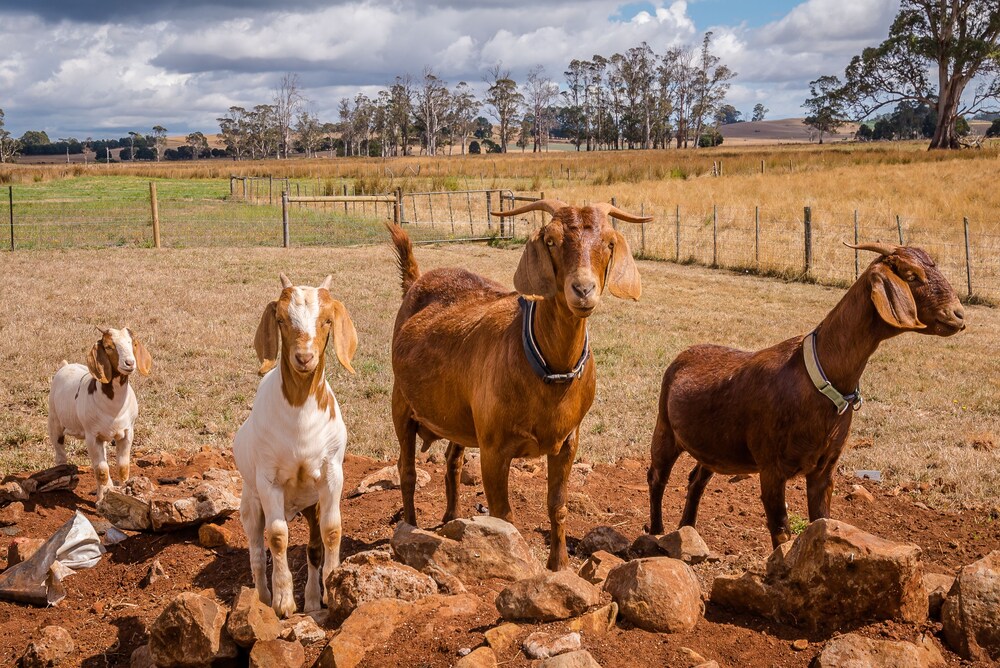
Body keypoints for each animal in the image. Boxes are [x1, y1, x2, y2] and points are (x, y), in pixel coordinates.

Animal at [49, 326, 152, 504]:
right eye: (109, 347)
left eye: (132, 343)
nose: (130, 363)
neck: (114, 408)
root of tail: (66, 366)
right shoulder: (92, 436)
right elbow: (101, 470)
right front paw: (101, 500)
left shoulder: (128, 432)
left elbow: (123, 466)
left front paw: (123, 493)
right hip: (54, 419)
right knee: (60, 452)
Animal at [232, 274, 358, 620]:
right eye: (281, 319)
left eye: (327, 320)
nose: (304, 358)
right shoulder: (268, 480)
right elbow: (276, 536)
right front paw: (283, 602)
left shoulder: (332, 473)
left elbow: (331, 531)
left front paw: (331, 590)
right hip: (250, 500)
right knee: (256, 550)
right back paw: (262, 597)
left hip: (309, 503)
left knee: (313, 548)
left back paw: (313, 600)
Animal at [382, 198, 648, 568]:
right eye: (551, 240)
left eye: (609, 242)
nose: (582, 289)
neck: (549, 373)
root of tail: (415, 282)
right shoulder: (494, 447)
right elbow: (503, 517)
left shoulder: (569, 441)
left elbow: (558, 506)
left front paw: (559, 565)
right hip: (402, 404)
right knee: (406, 472)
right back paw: (409, 528)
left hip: (461, 416)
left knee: (452, 461)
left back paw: (451, 518)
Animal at [652, 245, 964, 548]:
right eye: (911, 275)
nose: (958, 314)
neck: (818, 378)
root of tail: (682, 356)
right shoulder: (771, 468)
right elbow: (781, 531)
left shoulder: (824, 470)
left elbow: (822, 522)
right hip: (665, 428)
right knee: (657, 476)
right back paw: (656, 532)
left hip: (713, 449)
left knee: (696, 480)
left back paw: (687, 529)